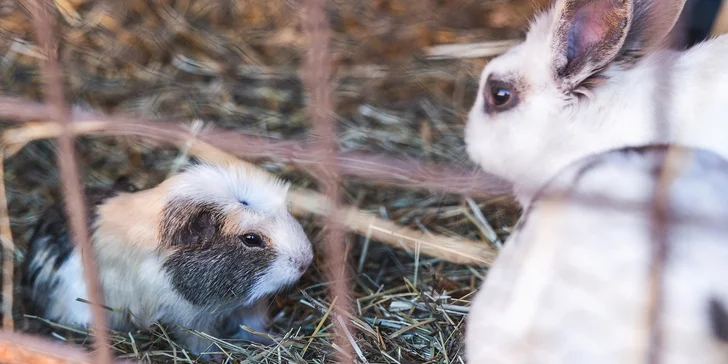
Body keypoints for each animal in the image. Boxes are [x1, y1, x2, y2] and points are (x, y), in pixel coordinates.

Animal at [22, 159, 312, 356]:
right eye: (251, 239)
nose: (305, 261)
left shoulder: (248, 307)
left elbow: (255, 327)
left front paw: (274, 338)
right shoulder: (188, 319)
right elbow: (200, 342)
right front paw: (216, 356)